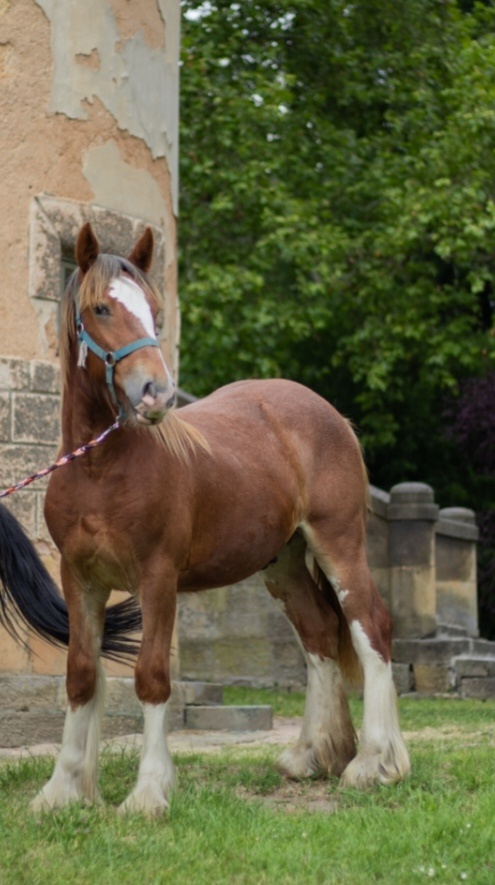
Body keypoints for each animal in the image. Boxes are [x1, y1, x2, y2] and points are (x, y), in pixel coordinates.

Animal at [0, 223, 410, 815]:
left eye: (154, 310)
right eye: (101, 308)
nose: (157, 392)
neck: (101, 469)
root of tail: (329, 414)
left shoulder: (158, 578)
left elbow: (151, 677)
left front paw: (148, 793)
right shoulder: (79, 579)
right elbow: (80, 676)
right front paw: (63, 790)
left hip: (339, 541)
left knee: (368, 624)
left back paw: (375, 763)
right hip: (283, 562)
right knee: (318, 632)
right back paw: (312, 756)